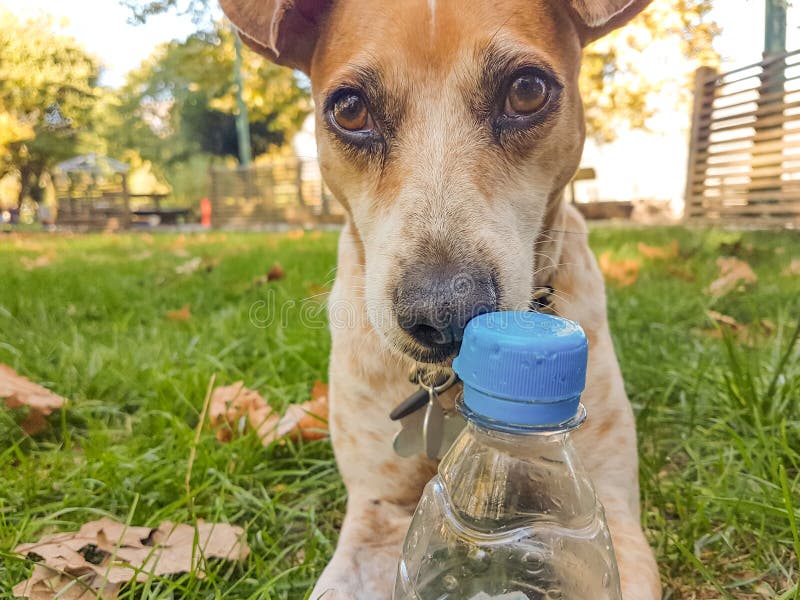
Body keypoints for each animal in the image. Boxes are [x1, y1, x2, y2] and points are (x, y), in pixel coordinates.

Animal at [217, 2, 656, 596]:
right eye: (350, 108)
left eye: (526, 91)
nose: (445, 312)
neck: (448, 393)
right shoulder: (377, 513)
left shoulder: (605, 504)